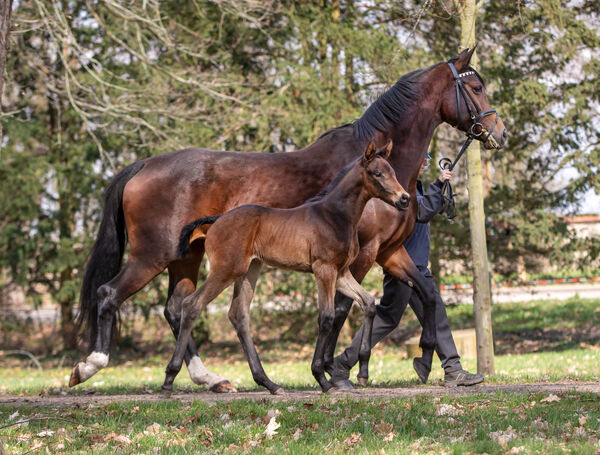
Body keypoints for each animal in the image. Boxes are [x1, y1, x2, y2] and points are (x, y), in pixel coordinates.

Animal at [162, 141, 410, 394]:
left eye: (393, 171)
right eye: (377, 173)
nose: (405, 199)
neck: (334, 216)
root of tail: (217, 220)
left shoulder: (341, 273)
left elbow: (368, 303)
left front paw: (363, 371)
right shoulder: (324, 269)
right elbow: (326, 317)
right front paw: (322, 378)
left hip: (249, 270)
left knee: (239, 315)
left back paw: (270, 383)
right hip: (226, 270)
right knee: (191, 305)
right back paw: (170, 378)